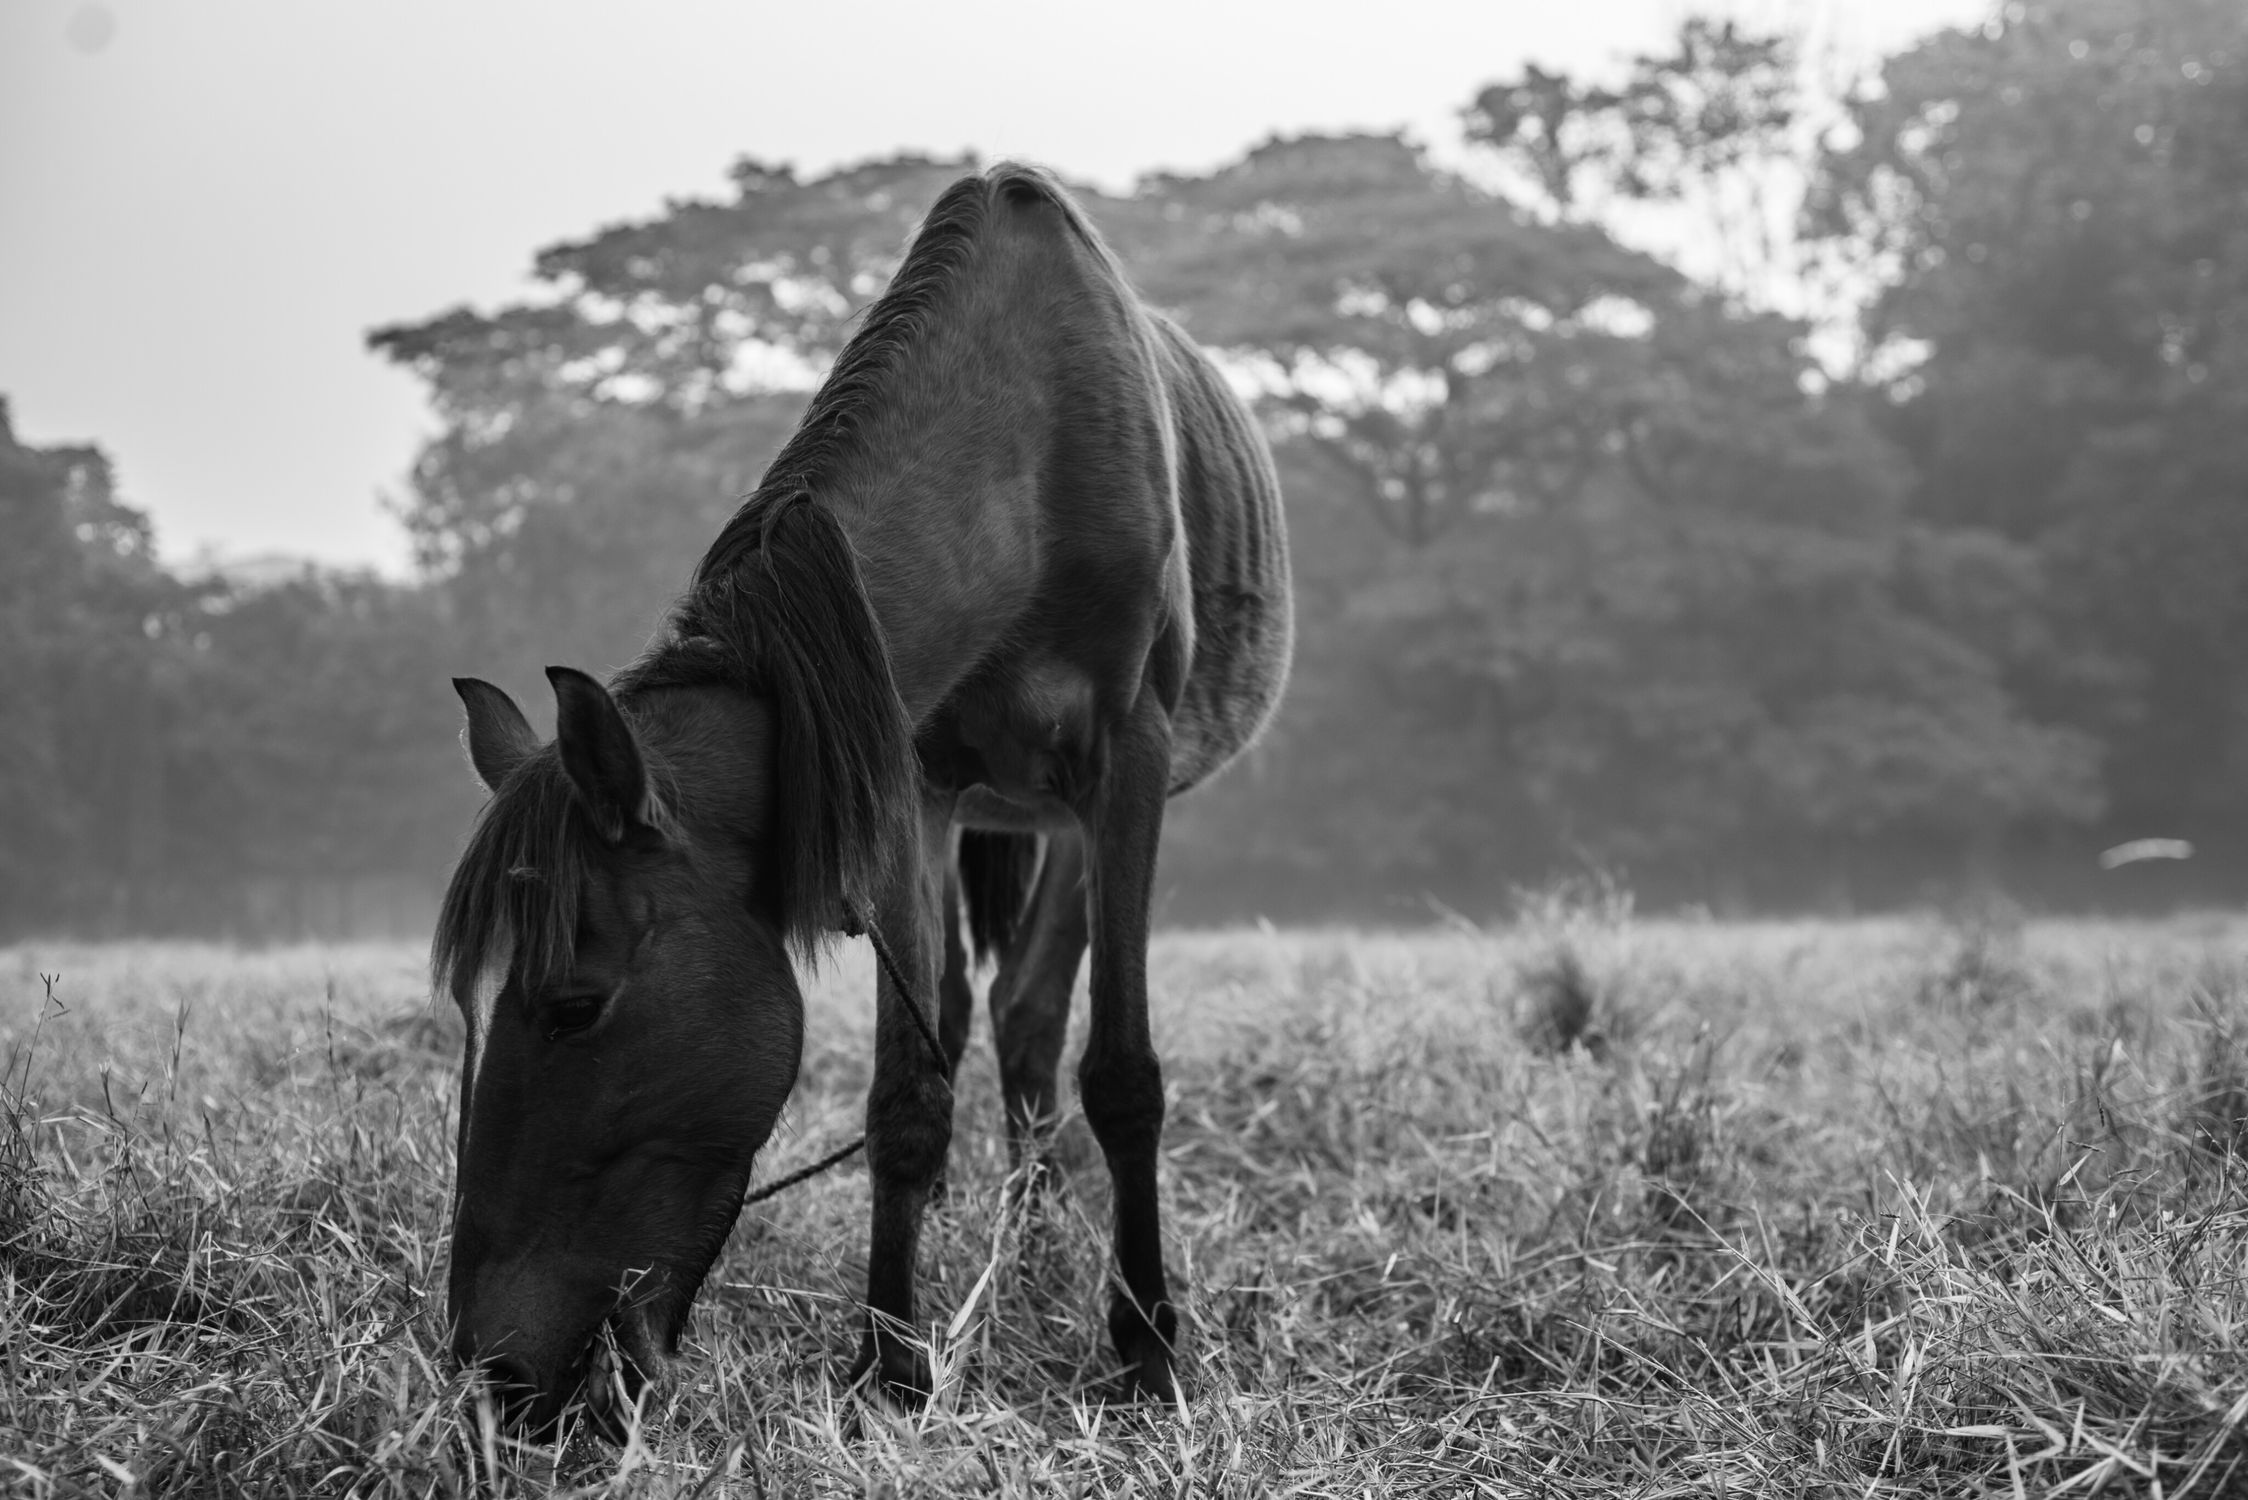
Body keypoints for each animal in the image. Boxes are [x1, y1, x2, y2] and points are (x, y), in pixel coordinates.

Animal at [434, 162, 1292, 1431]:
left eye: (573, 1006)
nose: (487, 1371)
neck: (1025, 466)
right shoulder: (908, 777)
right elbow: (908, 1092)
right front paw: (890, 1364)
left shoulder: (1127, 758)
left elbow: (1122, 1073)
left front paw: (1144, 1350)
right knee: (998, 1016)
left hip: (1083, 806)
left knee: (1040, 1021)